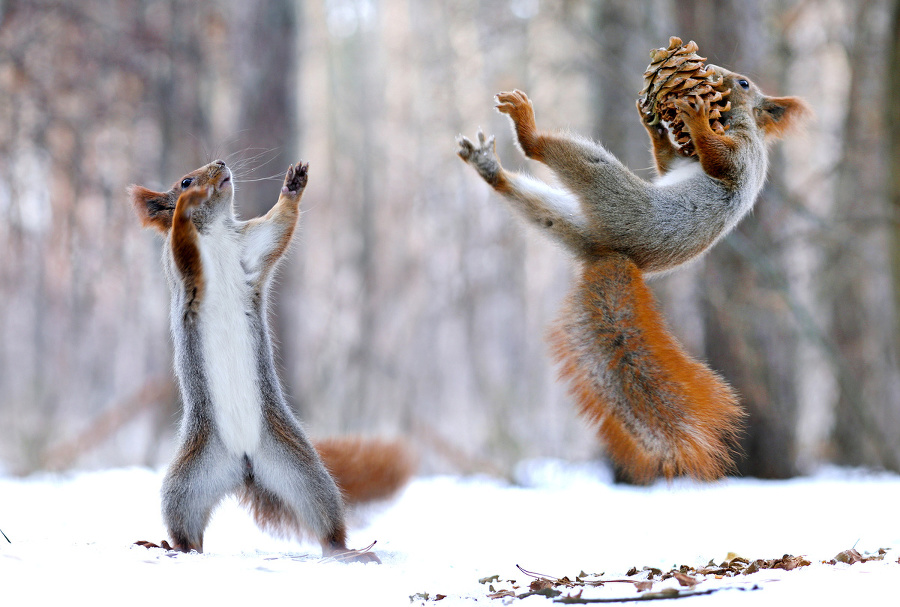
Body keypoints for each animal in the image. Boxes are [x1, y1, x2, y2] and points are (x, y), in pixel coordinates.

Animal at [128, 160, 414, 560]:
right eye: (184, 181)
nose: (221, 164)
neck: (215, 232)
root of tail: (245, 464)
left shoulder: (251, 247)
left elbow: (278, 227)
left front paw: (293, 186)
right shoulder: (183, 267)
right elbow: (182, 243)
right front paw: (185, 207)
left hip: (300, 470)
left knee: (324, 519)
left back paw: (348, 552)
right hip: (186, 481)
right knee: (187, 528)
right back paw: (173, 547)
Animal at [458, 65, 808, 484]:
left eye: (743, 84)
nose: (714, 73)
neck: (734, 122)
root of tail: (614, 255)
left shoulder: (742, 156)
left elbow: (719, 160)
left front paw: (694, 117)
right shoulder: (680, 163)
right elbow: (666, 163)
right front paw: (654, 125)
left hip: (612, 191)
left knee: (545, 152)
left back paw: (526, 128)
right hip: (565, 220)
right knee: (534, 202)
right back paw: (489, 168)